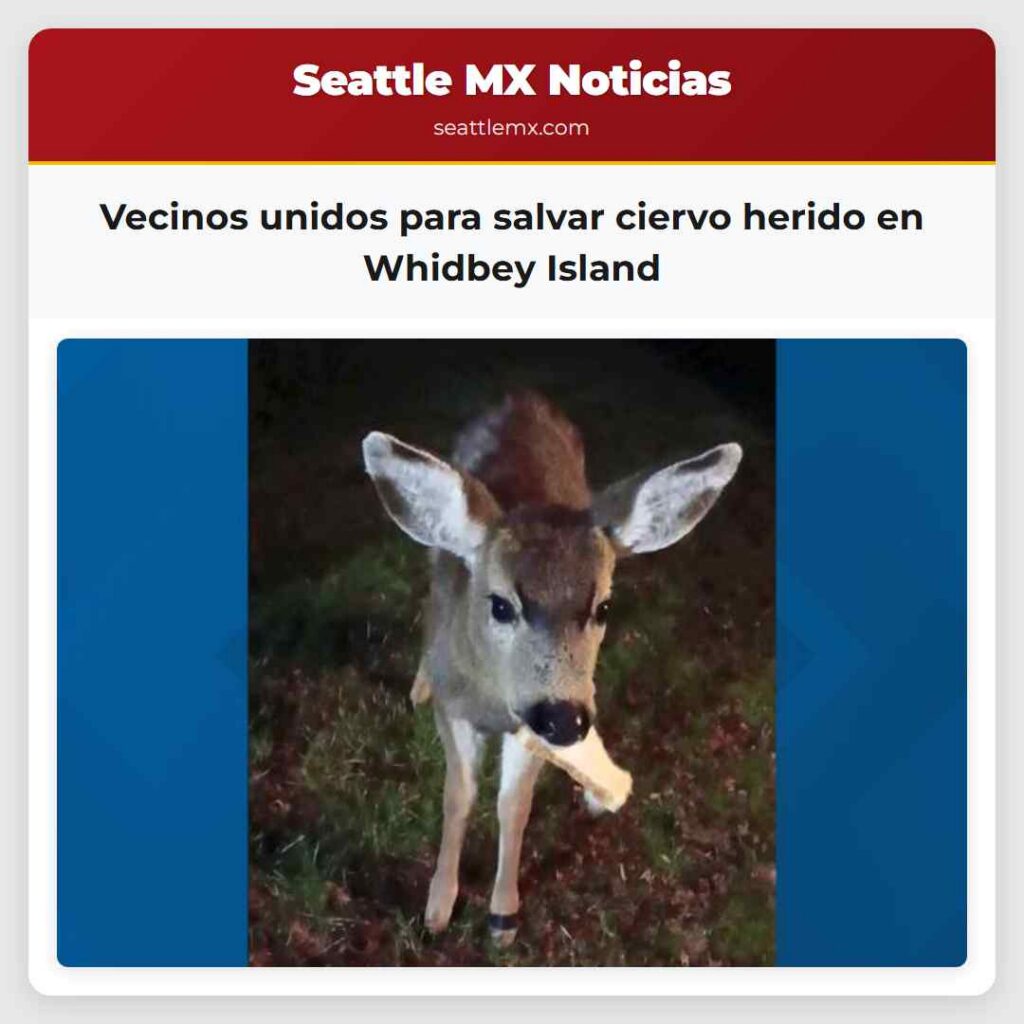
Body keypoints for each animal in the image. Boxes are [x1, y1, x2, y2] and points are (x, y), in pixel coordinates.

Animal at [362, 392, 741, 946]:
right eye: (500, 605)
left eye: (604, 607)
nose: (566, 719)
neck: (491, 698)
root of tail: (521, 396)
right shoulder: (456, 708)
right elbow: (459, 796)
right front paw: (438, 906)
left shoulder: (529, 725)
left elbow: (513, 805)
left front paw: (503, 917)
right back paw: (419, 683)